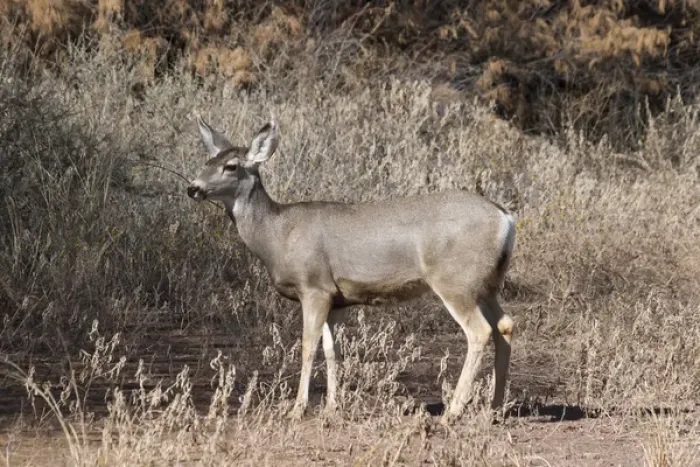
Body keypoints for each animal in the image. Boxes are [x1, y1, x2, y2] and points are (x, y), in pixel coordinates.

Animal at [186, 116, 516, 421]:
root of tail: (506, 218)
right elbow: (333, 351)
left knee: (479, 331)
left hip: (454, 280)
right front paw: (332, 407)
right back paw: (495, 408)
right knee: (505, 325)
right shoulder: (337, 298)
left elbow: (308, 346)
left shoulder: (314, 287)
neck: (278, 235)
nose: (193, 188)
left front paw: (298, 408)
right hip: (485, 284)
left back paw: (453, 411)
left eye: (231, 166)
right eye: (207, 161)